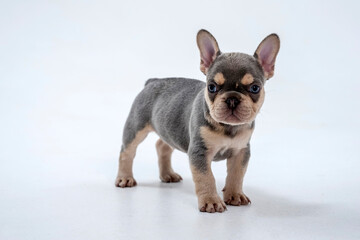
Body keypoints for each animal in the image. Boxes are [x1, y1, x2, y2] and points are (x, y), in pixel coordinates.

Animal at [116, 29, 280, 213]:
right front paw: (211, 201)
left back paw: (167, 174)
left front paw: (235, 195)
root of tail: (153, 81)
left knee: (162, 146)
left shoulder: (241, 151)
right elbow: (206, 177)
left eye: (255, 88)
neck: (227, 127)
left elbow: (237, 175)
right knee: (127, 152)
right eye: (211, 87)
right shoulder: (199, 152)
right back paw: (125, 178)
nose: (232, 99)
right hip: (136, 127)